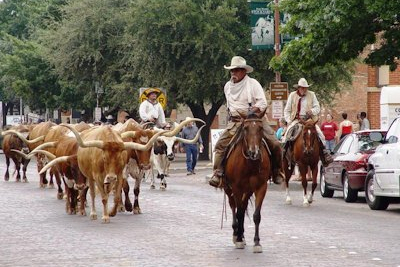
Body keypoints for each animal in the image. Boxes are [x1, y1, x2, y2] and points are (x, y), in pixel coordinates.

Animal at [223, 112, 270, 253]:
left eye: (260, 128)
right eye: (245, 128)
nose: (254, 152)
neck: (250, 164)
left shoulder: (261, 187)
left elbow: (256, 216)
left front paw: (257, 242)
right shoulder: (236, 187)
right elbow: (238, 212)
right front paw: (238, 239)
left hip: (247, 190)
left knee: (243, 208)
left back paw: (242, 234)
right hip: (229, 189)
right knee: (234, 207)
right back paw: (237, 234)